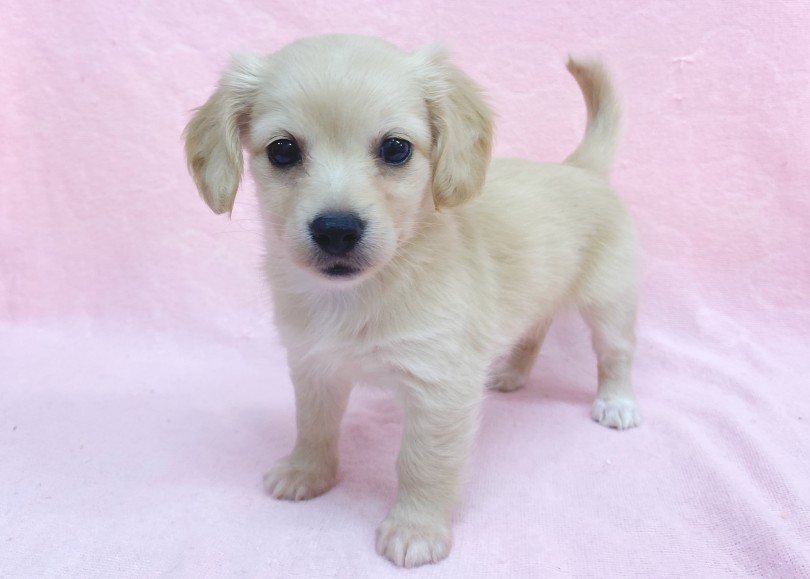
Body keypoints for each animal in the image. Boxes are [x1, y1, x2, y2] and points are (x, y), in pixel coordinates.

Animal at [184, 34, 640, 568]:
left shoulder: (439, 388)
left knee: (615, 353)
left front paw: (415, 529)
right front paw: (307, 472)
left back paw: (616, 403)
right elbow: (313, 425)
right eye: (282, 151)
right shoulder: (314, 367)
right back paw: (510, 373)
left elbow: (422, 463)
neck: (357, 295)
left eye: (395, 148)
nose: (336, 230)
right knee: (535, 330)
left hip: (609, 301)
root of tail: (580, 169)